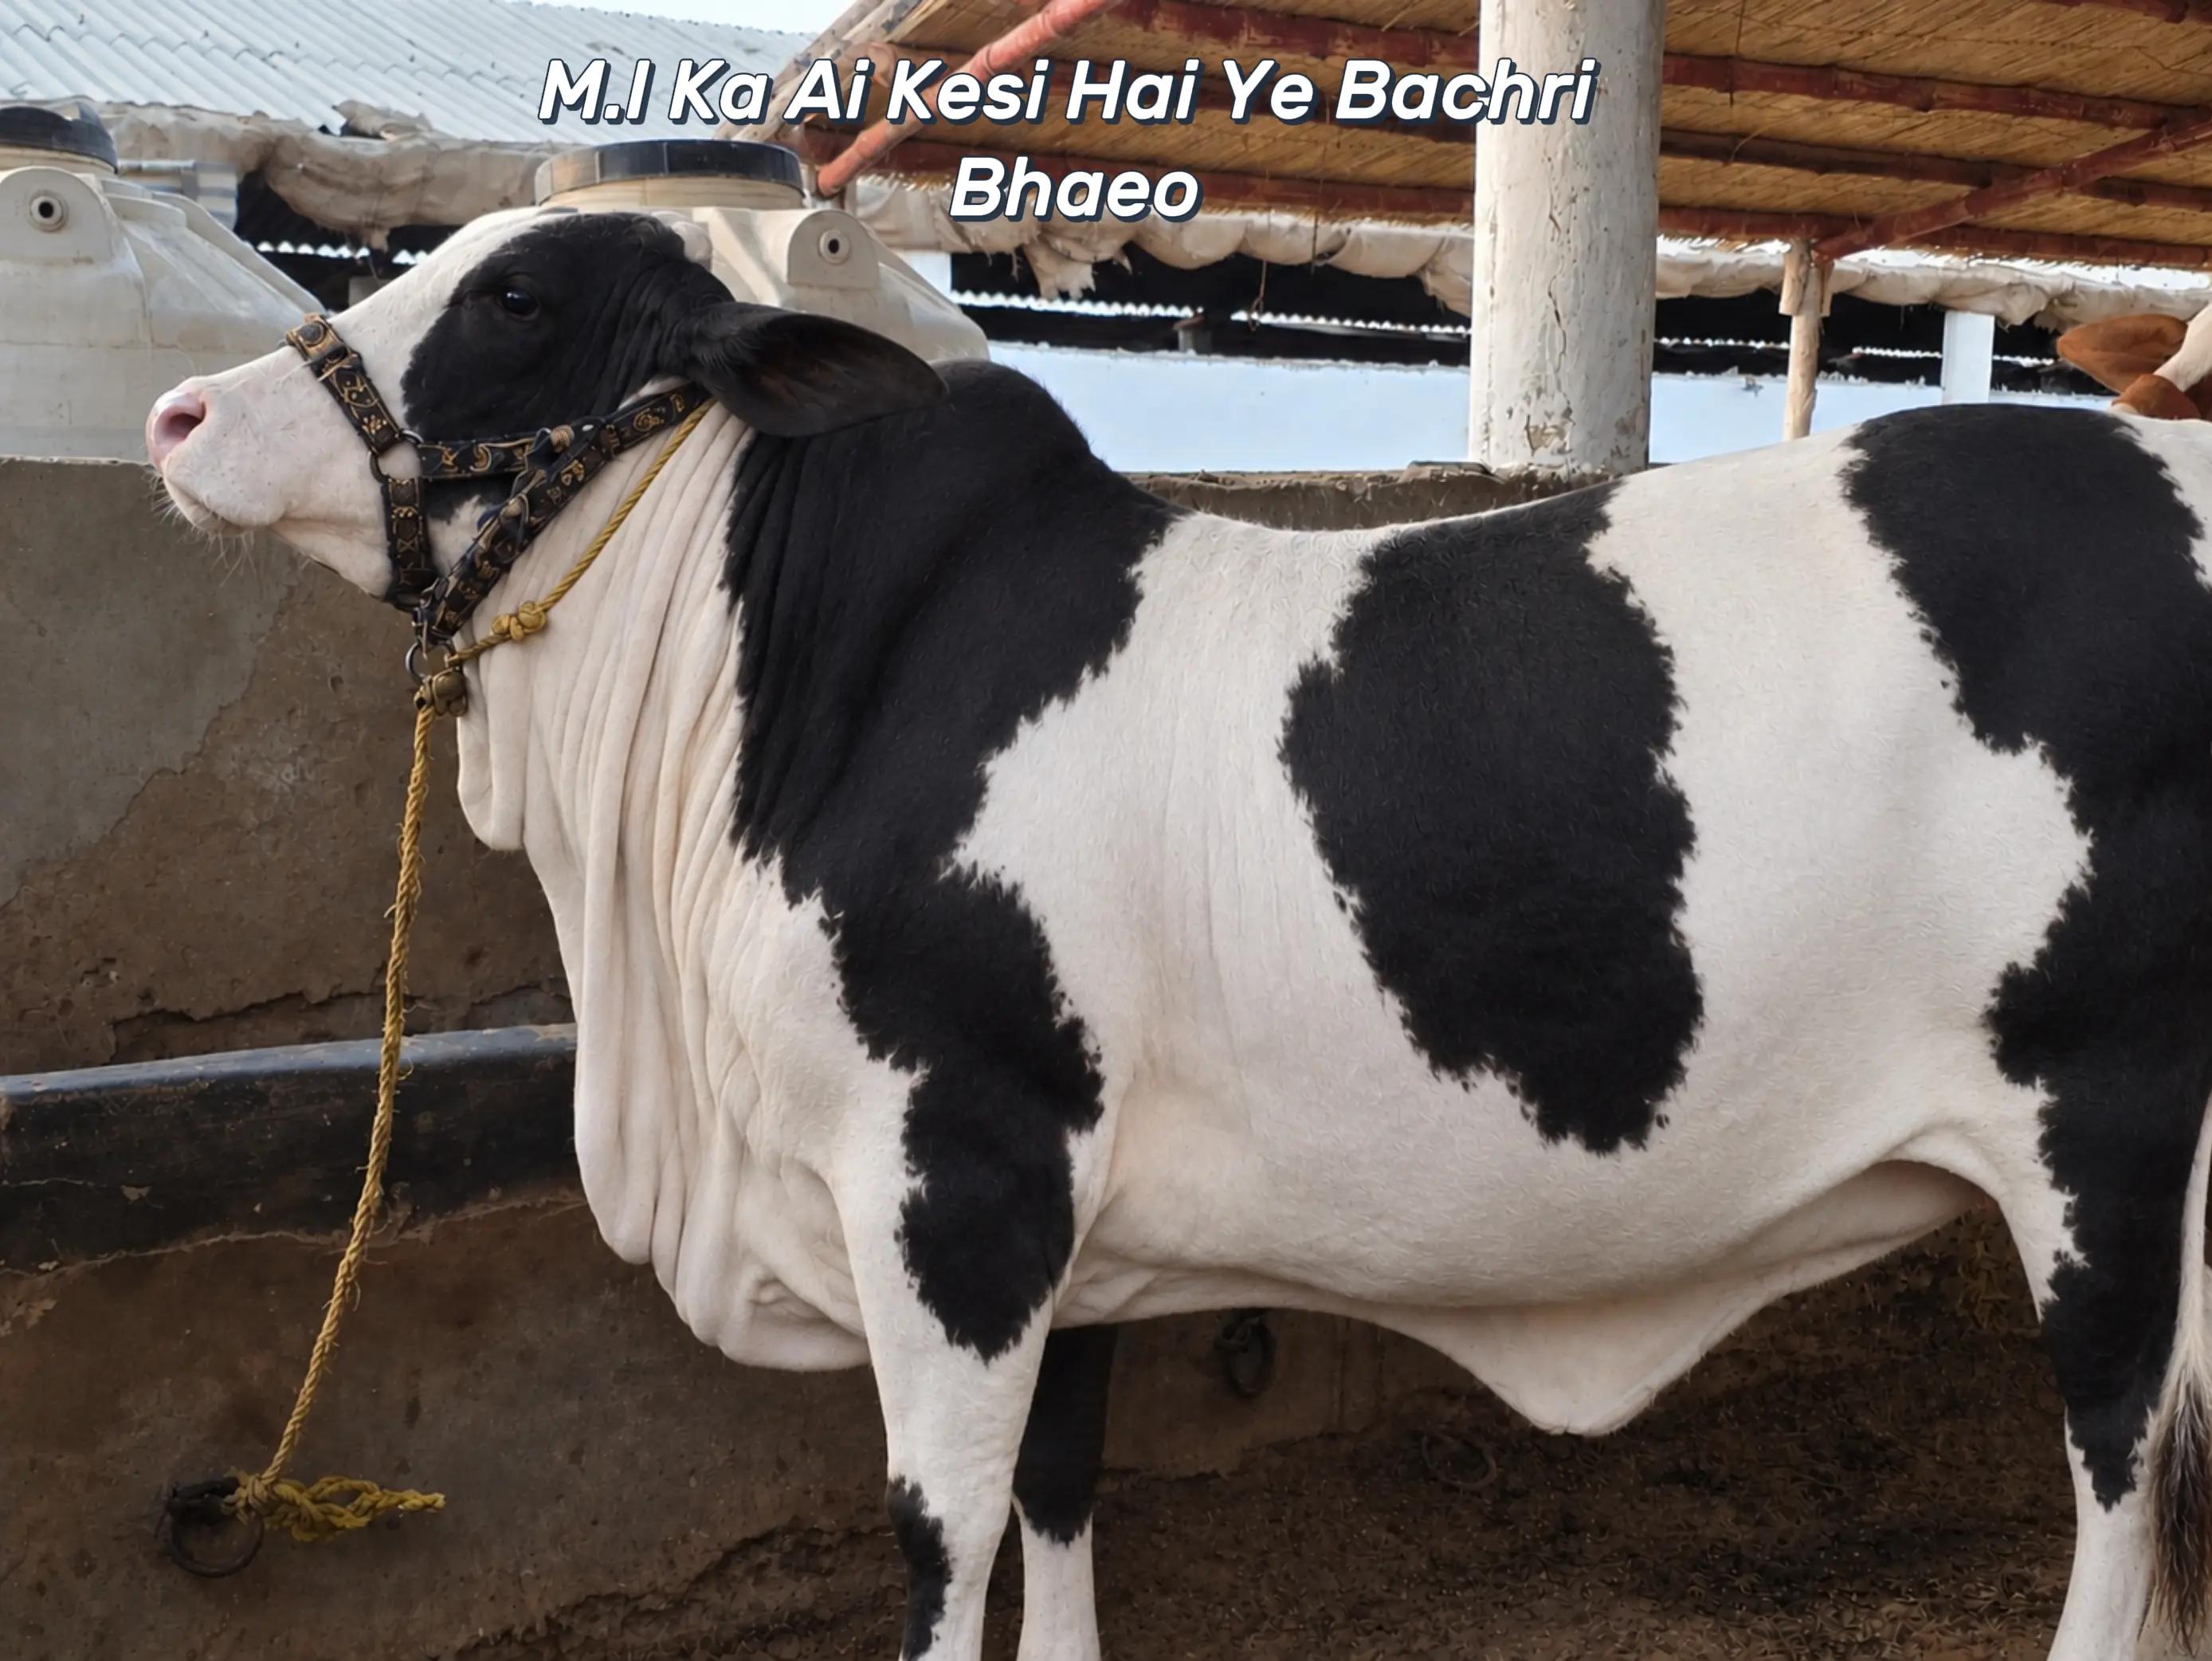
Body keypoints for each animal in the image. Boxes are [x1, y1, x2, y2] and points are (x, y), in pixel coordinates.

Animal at [147, 206, 2212, 1661]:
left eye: (515, 297)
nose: (179, 410)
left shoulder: (954, 1167)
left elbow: (942, 1530)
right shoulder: (1065, 1218)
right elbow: (1059, 1501)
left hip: (2106, 1128)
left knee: (2122, 1471)